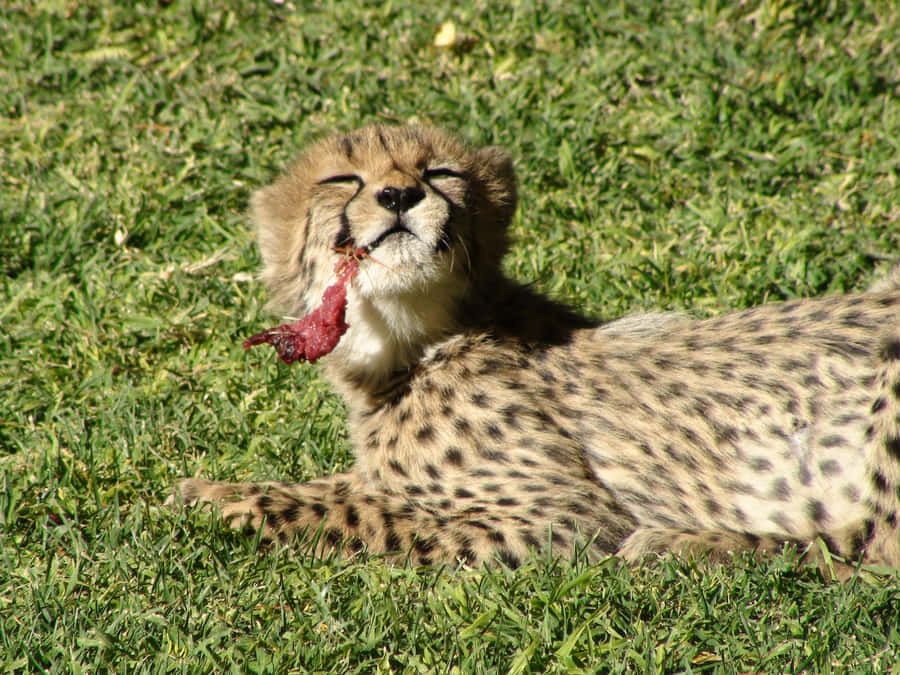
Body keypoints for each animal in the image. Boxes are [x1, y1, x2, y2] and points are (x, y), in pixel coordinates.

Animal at [171, 124, 900, 575]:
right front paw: (211, 487)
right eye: (343, 179)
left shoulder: (564, 519)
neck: (415, 340)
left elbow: (365, 510)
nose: (400, 194)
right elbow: (343, 485)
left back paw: (681, 544)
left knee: (871, 558)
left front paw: (221, 504)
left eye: (440, 172)